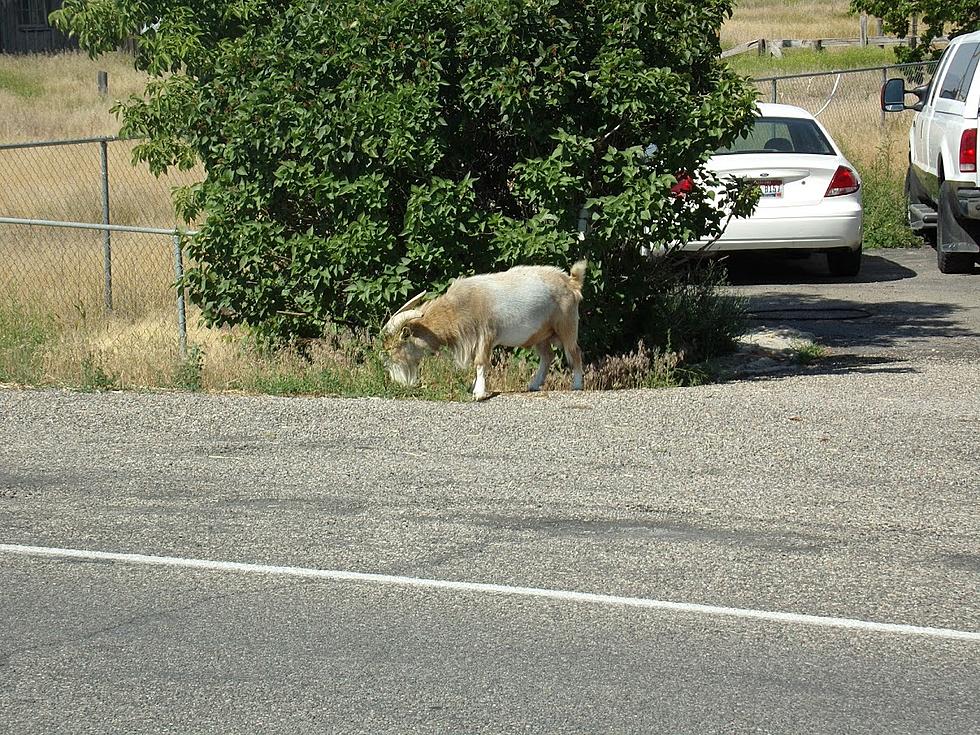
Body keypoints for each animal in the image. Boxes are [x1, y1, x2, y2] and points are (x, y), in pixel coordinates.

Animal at [382, 260, 584, 400]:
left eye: (392, 349)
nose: (395, 381)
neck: (459, 306)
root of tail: (571, 282)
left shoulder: (485, 335)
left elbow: (480, 362)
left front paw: (479, 393)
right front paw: (473, 388)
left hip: (566, 326)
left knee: (574, 351)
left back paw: (577, 385)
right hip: (539, 335)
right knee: (547, 356)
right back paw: (533, 385)